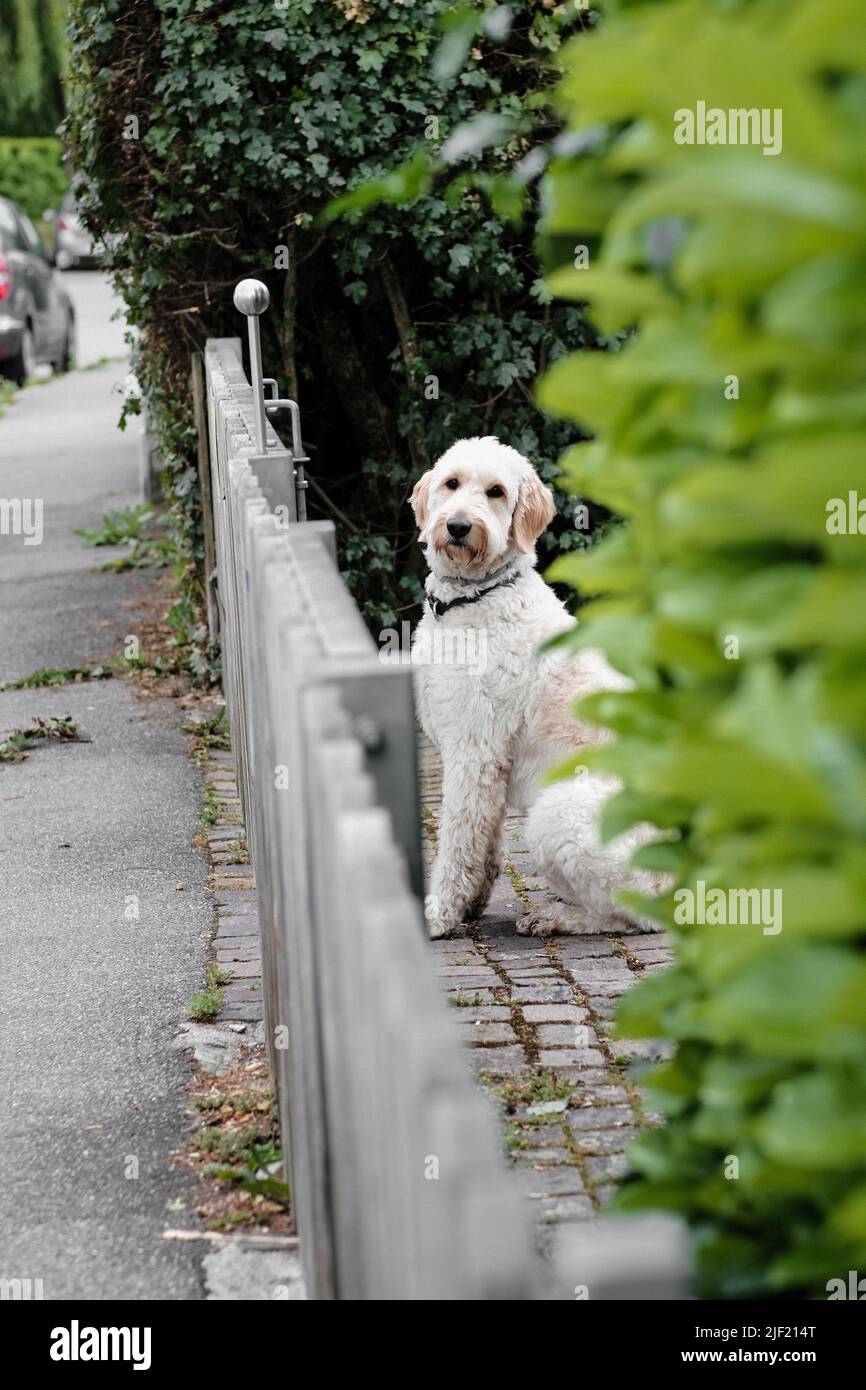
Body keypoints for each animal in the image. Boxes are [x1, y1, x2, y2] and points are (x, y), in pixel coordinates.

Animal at [411, 433, 664, 934]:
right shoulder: (490, 761)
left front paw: (440, 912)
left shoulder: (472, 749)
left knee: (630, 915)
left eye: (496, 492)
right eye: (452, 483)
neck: (477, 595)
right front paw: (472, 903)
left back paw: (556, 916)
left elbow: (458, 837)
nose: (459, 526)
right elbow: (484, 839)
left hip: (556, 814)